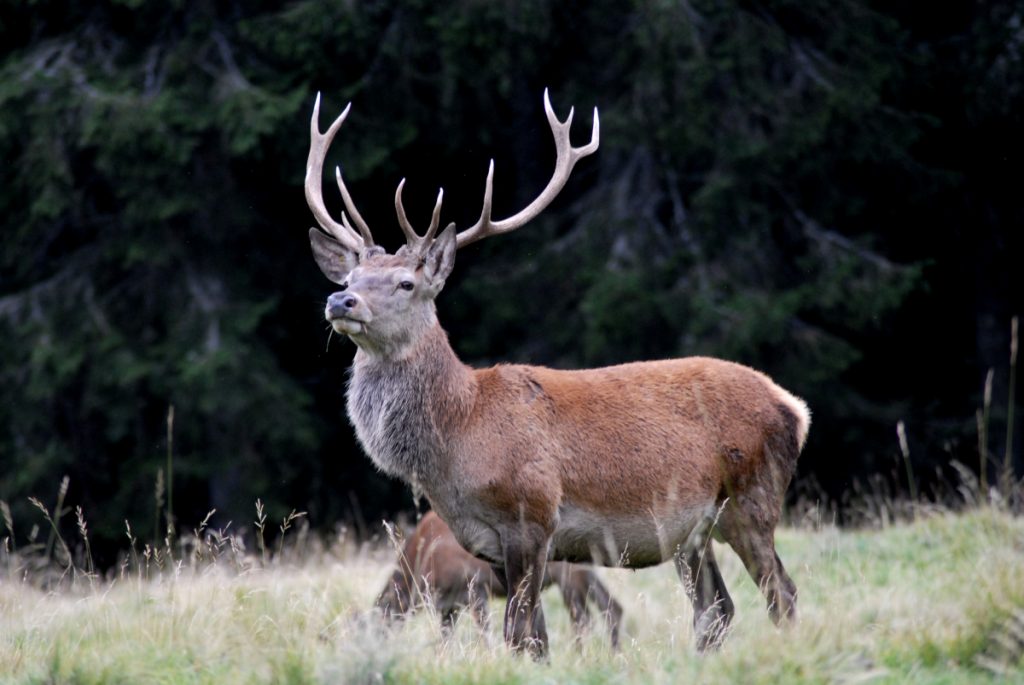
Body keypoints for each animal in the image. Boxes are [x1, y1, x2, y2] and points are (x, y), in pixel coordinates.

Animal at [374, 507, 618, 647]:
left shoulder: (474, 588)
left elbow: (485, 633)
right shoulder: (449, 605)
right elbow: (446, 640)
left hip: (569, 575)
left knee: (584, 618)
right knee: (610, 608)